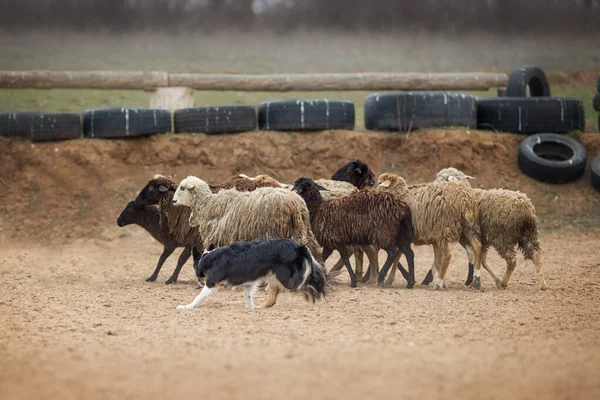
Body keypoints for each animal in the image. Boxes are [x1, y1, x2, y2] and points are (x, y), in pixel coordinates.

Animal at [177, 241, 328, 310]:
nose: (199, 279)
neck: (209, 258)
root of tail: (299, 246)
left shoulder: (211, 283)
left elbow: (199, 296)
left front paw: (187, 307)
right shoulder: (249, 283)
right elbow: (247, 296)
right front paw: (251, 308)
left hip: (286, 279)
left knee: (308, 287)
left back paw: (311, 303)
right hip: (274, 276)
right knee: (274, 296)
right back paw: (262, 307)